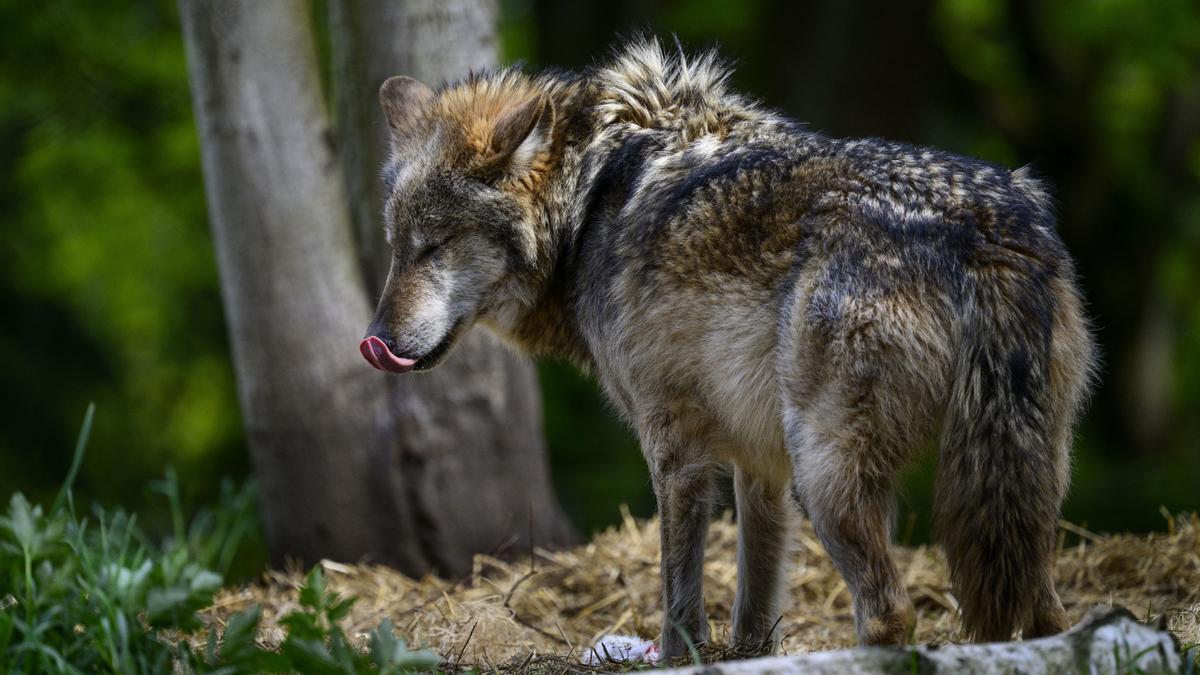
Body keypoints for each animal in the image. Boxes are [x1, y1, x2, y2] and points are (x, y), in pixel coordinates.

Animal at [358, 40, 1098, 658]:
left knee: (890, 612)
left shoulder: (674, 445)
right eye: (397, 249)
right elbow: (754, 600)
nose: (377, 344)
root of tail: (984, 228)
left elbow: (679, 598)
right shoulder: (758, 460)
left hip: (827, 474)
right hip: (1020, 480)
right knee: (1048, 614)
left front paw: (676, 657)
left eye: (435, 247)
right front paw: (749, 656)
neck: (589, 200)